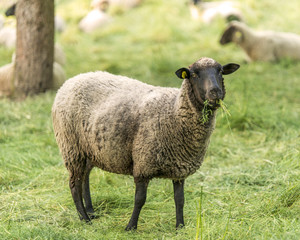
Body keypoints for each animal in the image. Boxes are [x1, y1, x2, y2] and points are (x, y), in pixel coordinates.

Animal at [51, 56, 239, 231]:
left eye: (221, 71)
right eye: (194, 74)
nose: (215, 92)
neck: (173, 111)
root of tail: (72, 80)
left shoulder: (179, 169)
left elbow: (180, 199)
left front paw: (180, 226)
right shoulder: (143, 164)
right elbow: (140, 199)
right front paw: (130, 227)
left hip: (90, 149)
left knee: (85, 177)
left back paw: (90, 211)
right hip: (71, 147)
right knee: (74, 184)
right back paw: (84, 218)